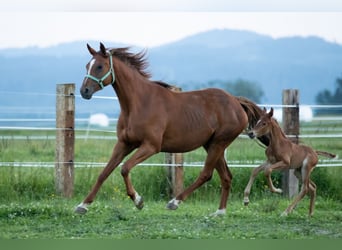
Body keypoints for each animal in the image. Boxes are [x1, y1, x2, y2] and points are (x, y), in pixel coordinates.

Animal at [76, 42, 266, 215]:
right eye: (87, 66)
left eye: (99, 66)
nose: (84, 91)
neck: (138, 104)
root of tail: (236, 101)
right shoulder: (124, 144)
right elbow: (104, 173)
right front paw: (83, 205)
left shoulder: (151, 146)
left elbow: (125, 168)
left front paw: (138, 201)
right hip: (211, 145)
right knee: (225, 176)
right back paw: (220, 212)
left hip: (219, 143)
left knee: (206, 174)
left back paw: (174, 202)